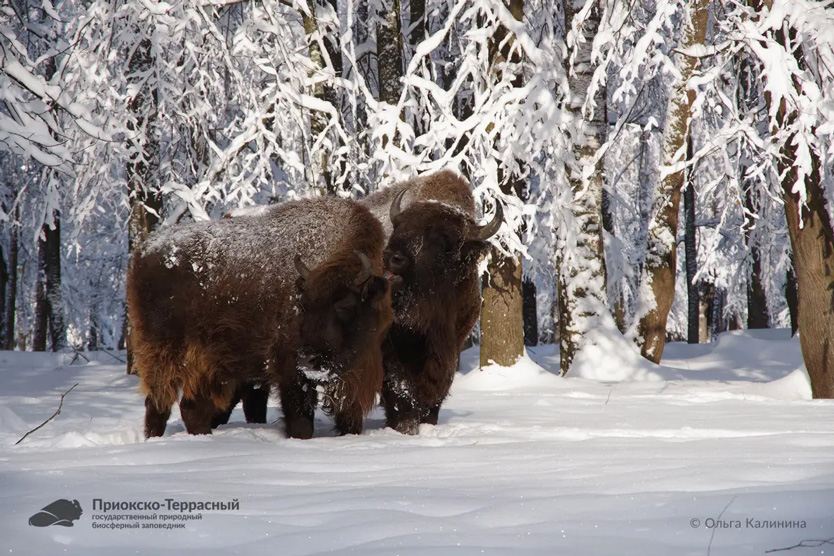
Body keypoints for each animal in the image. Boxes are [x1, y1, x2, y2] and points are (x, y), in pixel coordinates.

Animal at [126, 198, 390, 440]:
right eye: (304, 305)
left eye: (345, 305)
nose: (308, 359)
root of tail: (143, 252)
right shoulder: (289, 372)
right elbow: (301, 424)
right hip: (164, 354)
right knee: (158, 404)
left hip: (210, 368)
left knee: (192, 409)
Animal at [358, 169, 500, 434]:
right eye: (398, 227)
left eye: (444, 240)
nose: (392, 257)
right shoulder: (390, 346)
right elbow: (400, 389)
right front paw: (405, 426)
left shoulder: (451, 344)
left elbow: (437, 388)